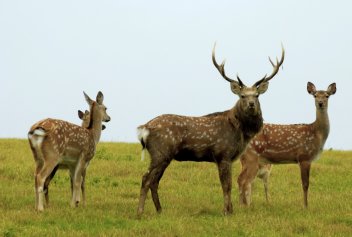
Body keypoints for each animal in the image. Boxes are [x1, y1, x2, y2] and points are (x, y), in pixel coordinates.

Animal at [136, 43, 284, 217]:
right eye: (242, 96)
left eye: (257, 95)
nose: (251, 104)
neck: (240, 133)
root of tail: (144, 128)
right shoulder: (223, 153)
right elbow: (226, 185)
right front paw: (227, 211)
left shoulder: (229, 158)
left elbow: (228, 183)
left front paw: (230, 210)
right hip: (160, 152)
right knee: (146, 178)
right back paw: (139, 212)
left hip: (163, 156)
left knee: (154, 181)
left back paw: (160, 210)